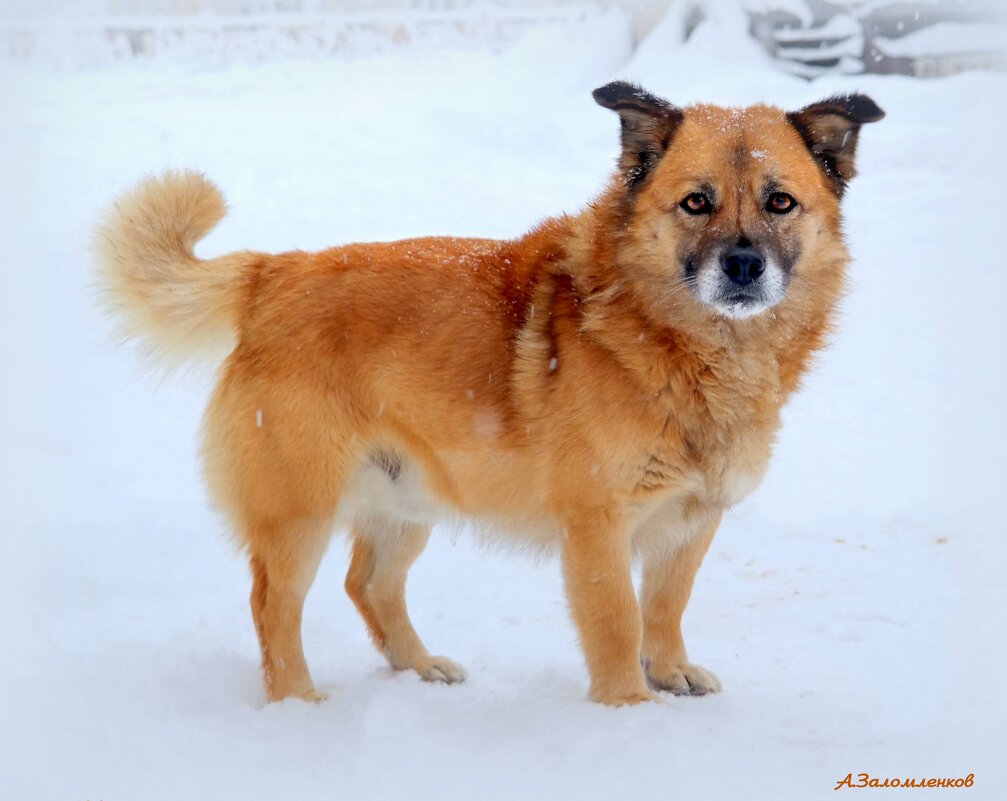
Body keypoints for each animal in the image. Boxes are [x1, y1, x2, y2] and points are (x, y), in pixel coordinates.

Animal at [94, 83, 882, 709]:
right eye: (696, 202)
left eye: (780, 202)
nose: (744, 266)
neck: (681, 347)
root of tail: (272, 272)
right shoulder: (596, 525)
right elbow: (617, 622)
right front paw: (628, 710)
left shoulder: (691, 519)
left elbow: (665, 604)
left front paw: (669, 671)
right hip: (299, 511)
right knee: (273, 606)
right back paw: (297, 701)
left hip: (408, 498)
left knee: (368, 584)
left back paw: (418, 668)